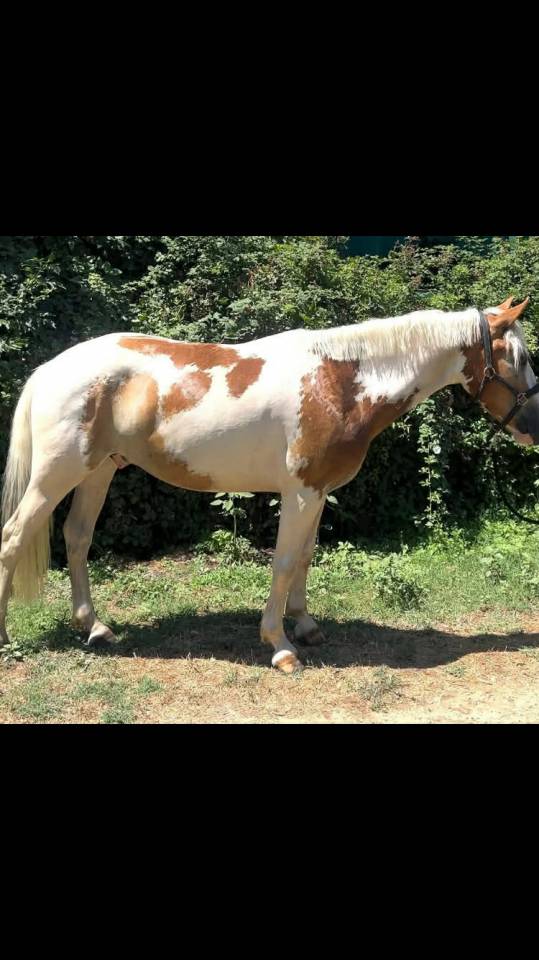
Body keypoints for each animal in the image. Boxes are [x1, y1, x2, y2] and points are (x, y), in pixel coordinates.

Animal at [1, 297, 538, 673]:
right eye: (519, 357)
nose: (534, 425)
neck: (340, 381)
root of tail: (49, 369)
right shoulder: (299, 492)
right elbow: (282, 562)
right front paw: (280, 647)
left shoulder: (318, 491)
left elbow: (305, 556)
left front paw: (306, 626)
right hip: (56, 474)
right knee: (14, 538)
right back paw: (8, 637)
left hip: (99, 470)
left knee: (76, 537)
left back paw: (95, 628)